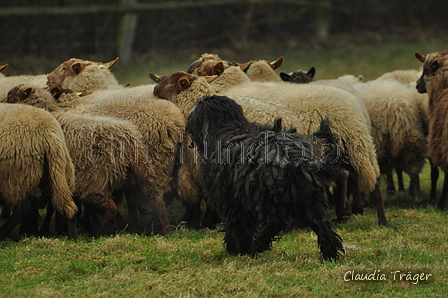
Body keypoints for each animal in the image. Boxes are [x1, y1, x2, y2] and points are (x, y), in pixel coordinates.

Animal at [0, 102, 77, 240]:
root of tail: (48, 132)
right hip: (55, 172)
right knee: (68, 206)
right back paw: (72, 238)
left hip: (13, 177)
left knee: (22, 209)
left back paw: (2, 233)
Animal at [187, 94, 344, 260]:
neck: (227, 128)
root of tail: (296, 159)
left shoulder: (229, 200)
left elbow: (235, 226)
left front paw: (237, 249)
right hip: (312, 197)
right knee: (322, 225)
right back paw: (330, 254)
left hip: (267, 198)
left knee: (274, 223)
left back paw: (256, 247)